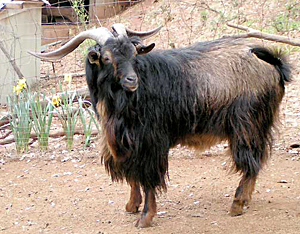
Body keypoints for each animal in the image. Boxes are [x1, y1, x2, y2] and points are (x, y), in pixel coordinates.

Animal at [28, 24, 290, 228]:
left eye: (134, 54)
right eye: (106, 57)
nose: (132, 80)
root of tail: (270, 61)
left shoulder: (150, 141)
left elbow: (148, 179)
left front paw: (145, 218)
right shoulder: (126, 143)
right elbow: (133, 176)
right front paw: (131, 205)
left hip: (247, 124)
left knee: (250, 161)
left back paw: (236, 204)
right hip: (259, 124)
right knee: (257, 160)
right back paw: (245, 200)